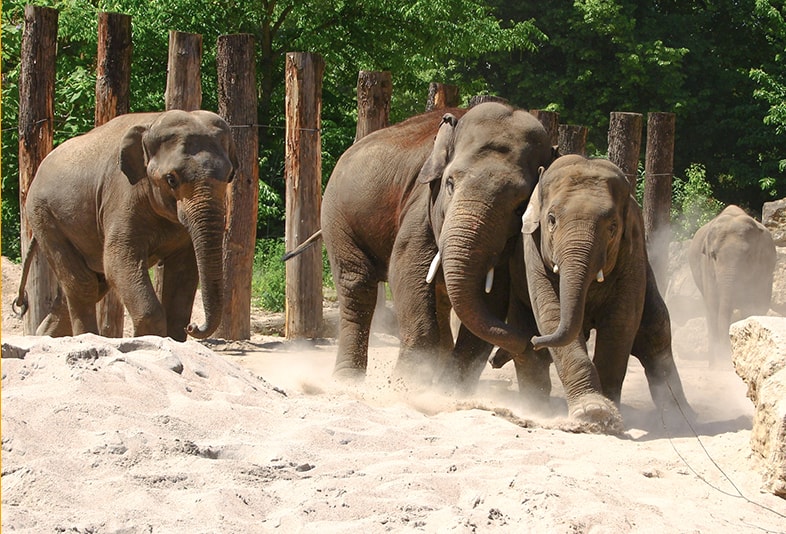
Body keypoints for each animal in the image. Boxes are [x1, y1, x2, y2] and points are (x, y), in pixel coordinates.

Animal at [13, 110, 236, 342]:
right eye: (171, 179)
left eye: (230, 176)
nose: (192, 327)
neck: (153, 121)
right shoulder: (121, 194)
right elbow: (117, 261)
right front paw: (147, 339)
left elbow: (184, 270)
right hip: (44, 217)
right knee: (82, 284)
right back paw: (86, 337)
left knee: (87, 286)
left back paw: (44, 337)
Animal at [316, 100, 552, 386]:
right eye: (450, 183)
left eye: (520, 206)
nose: (533, 343)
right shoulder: (423, 201)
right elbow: (407, 269)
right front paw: (407, 384)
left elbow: (493, 295)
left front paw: (449, 390)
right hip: (338, 216)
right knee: (357, 285)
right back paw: (347, 379)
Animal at [496, 155, 692, 432]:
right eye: (551, 220)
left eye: (612, 227)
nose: (535, 340)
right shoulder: (530, 250)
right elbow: (551, 314)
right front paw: (592, 414)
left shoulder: (633, 248)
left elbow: (621, 322)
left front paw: (607, 416)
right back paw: (537, 408)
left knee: (655, 333)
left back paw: (681, 418)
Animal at [688, 205, 772, 368]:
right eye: (713, 255)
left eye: (747, 256)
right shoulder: (706, 266)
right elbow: (713, 305)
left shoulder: (762, 269)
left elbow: (754, 307)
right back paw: (713, 366)